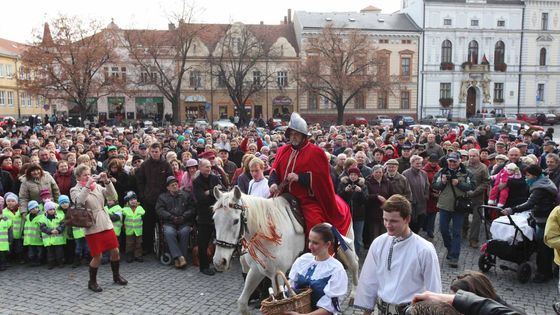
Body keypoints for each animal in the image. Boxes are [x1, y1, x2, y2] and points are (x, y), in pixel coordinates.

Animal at [210, 188, 358, 315]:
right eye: (214, 219)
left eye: (235, 221)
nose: (219, 262)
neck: (268, 233)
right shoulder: (256, 271)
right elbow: (242, 303)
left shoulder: (277, 275)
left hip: (347, 243)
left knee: (354, 264)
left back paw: (353, 295)